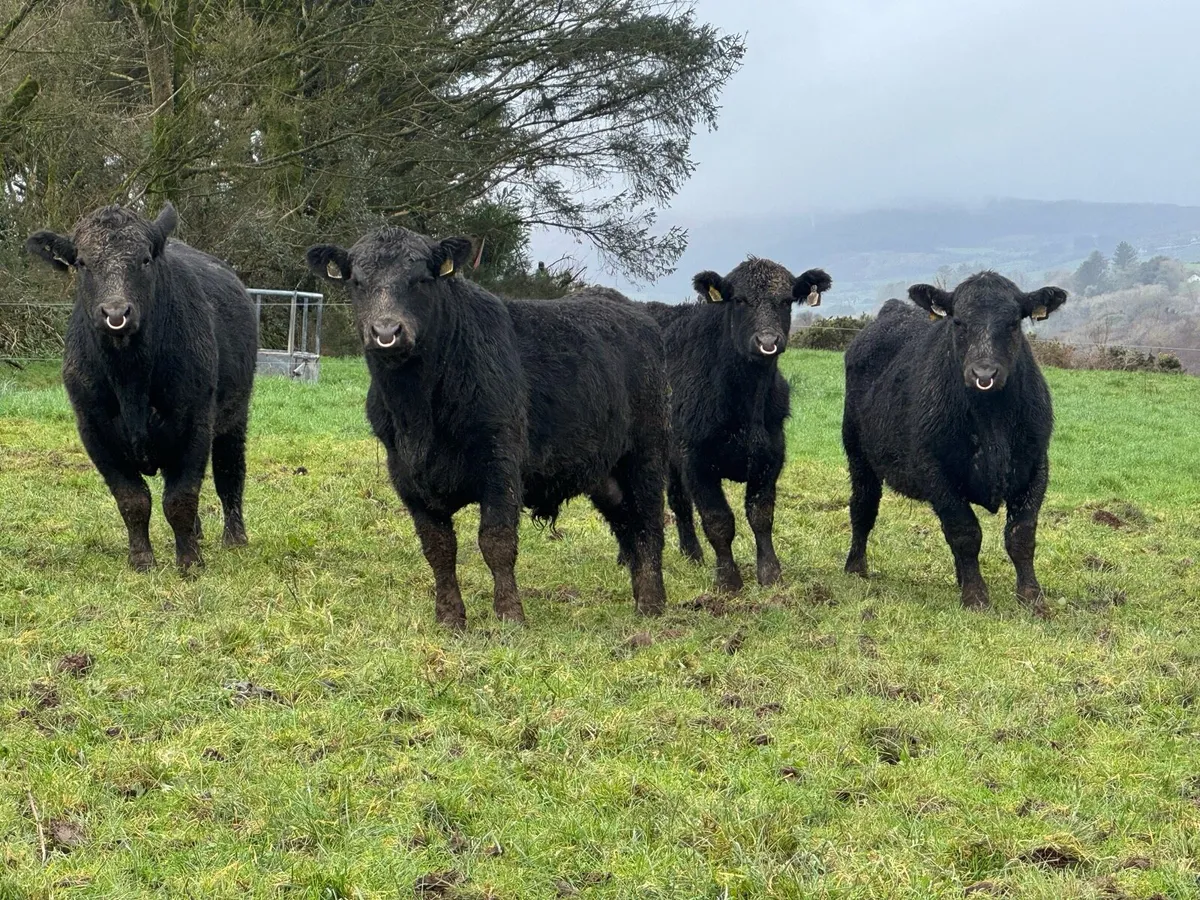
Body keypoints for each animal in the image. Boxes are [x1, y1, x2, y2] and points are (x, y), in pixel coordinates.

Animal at [26, 204, 257, 572]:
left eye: (145, 260)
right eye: (82, 262)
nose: (115, 312)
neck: (130, 379)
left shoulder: (194, 422)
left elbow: (181, 497)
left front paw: (190, 562)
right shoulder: (94, 430)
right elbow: (133, 499)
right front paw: (142, 560)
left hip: (235, 415)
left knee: (229, 473)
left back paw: (234, 538)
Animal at [306, 227, 668, 630]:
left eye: (422, 279)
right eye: (357, 281)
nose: (386, 331)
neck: (418, 411)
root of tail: (630, 310)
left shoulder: (500, 463)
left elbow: (496, 541)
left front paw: (510, 614)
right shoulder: (405, 474)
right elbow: (438, 547)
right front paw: (449, 617)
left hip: (645, 453)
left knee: (649, 523)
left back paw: (653, 604)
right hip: (603, 471)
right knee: (627, 523)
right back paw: (639, 596)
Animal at [641, 259, 832, 593]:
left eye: (786, 301)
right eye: (740, 300)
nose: (768, 342)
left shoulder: (770, 456)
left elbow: (761, 515)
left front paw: (770, 574)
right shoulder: (696, 461)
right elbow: (718, 520)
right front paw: (728, 580)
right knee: (675, 500)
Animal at [841, 272, 1068, 613]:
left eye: (1013, 322)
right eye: (958, 321)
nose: (984, 373)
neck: (991, 421)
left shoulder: (1035, 465)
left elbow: (1021, 535)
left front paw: (1032, 598)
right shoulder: (936, 470)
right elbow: (965, 533)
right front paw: (976, 597)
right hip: (857, 453)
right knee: (863, 507)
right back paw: (856, 567)